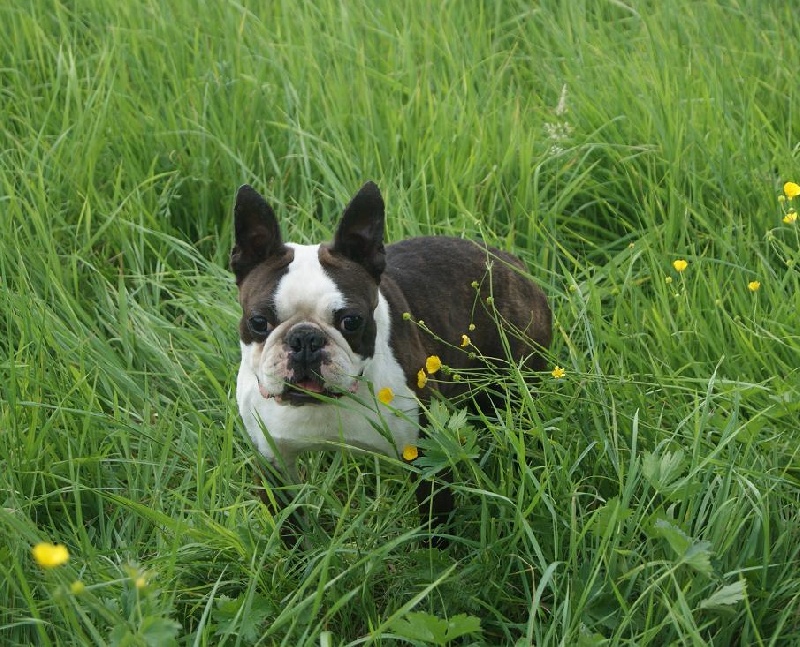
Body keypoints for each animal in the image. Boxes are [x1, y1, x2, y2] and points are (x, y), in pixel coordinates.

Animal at [231, 181, 551, 546]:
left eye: (351, 321)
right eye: (258, 322)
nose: (304, 340)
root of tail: (512, 264)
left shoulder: (425, 453)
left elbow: (436, 515)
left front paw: (436, 553)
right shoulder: (273, 462)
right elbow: (287, 523)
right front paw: (296, 556)